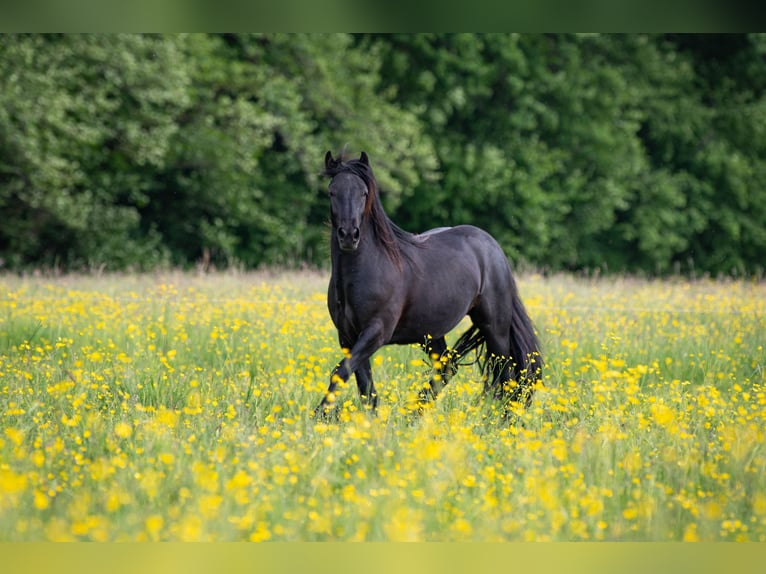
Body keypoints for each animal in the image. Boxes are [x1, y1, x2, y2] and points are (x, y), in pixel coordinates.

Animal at [314, 151, 542, 419]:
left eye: (363, 192)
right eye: (332, 191)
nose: (349, 235)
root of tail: (492, 247)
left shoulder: (376, 331)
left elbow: (341, 372)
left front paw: (317, 416)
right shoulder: (348, 337)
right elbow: (363, 384)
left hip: (494, 326)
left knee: (506, 373)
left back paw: (504, 422)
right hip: (431, 333)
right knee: (447, 367)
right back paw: (414, 412)